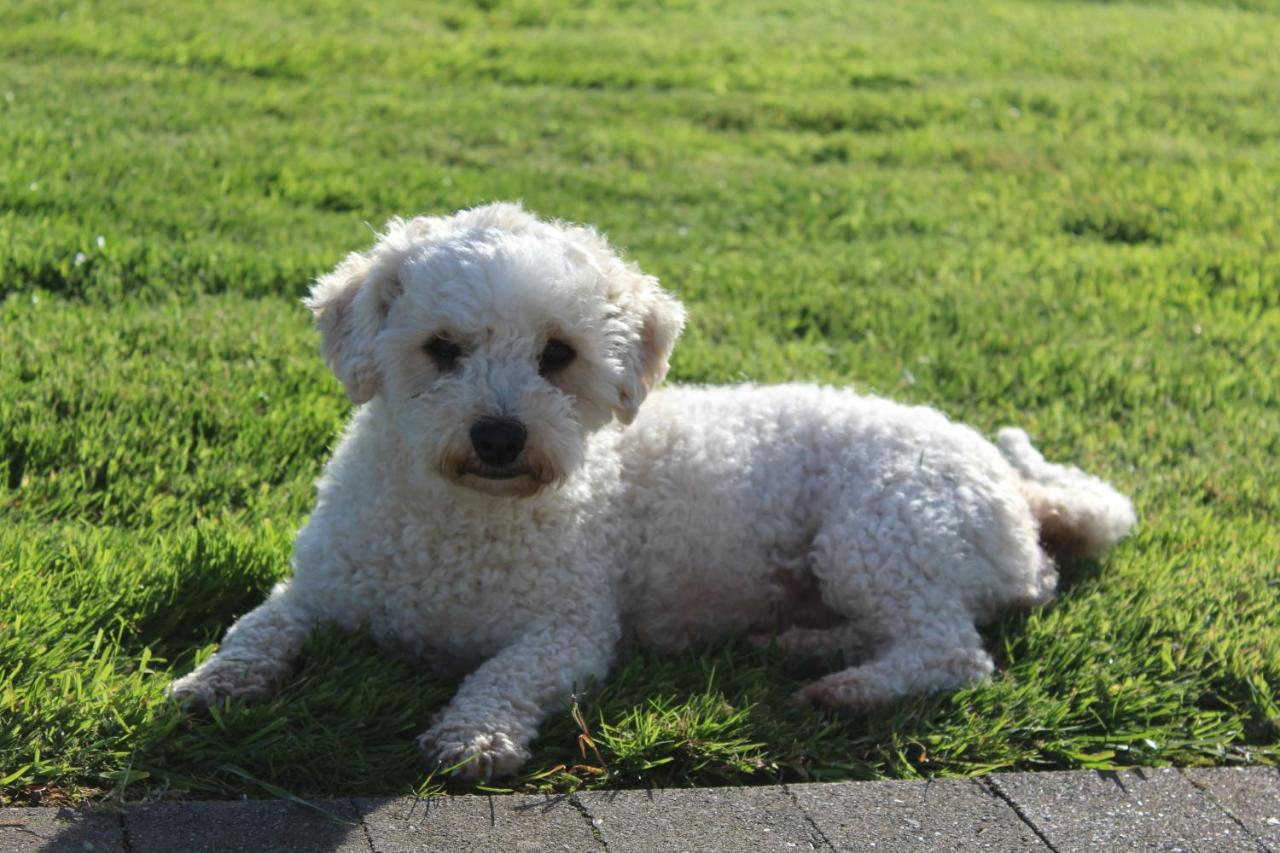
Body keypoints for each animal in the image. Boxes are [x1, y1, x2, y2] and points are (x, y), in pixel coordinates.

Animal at [167, 201, 1131, 778]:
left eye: (558, 354)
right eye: (442, 348)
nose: (499, 434)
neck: (463, 511)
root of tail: (1020, 495)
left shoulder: (571, 630)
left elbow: (504, 670)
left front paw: (474, 733)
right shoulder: (319, 587)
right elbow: (257, 627)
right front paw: (213, 682)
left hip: (882, 528)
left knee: (952, 653)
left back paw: (844, 689)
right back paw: (803, 646)